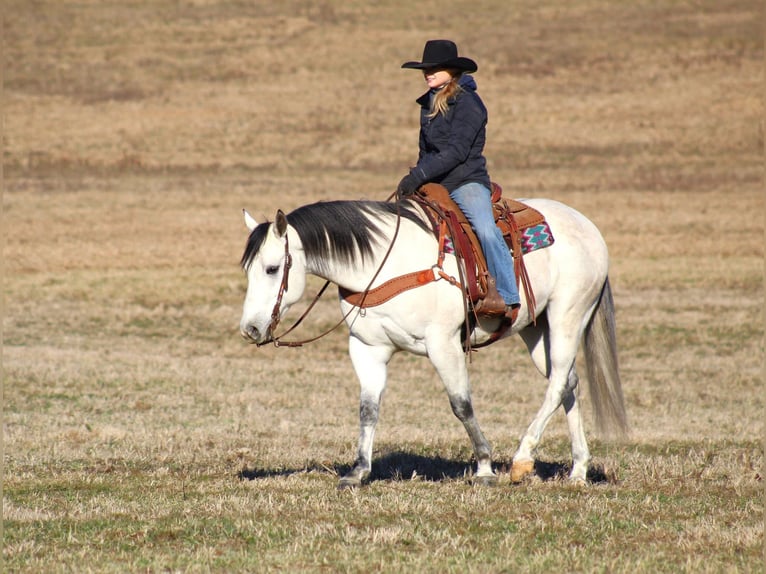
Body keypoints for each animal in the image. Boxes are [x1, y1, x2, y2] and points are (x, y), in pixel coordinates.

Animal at [240, 198, 632, 490]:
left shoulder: (442, 344)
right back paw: (578, 470)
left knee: (557, 384)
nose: (251, 329)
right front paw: (358, 470)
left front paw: (484, 467)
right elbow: (368, 409)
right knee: (567, 383)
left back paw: (522, 460)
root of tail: (587, 227)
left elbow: (461, 405)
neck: (383, 265)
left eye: (272, 268)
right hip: (536, 328)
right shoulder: (367, 348)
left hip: (569, 315)